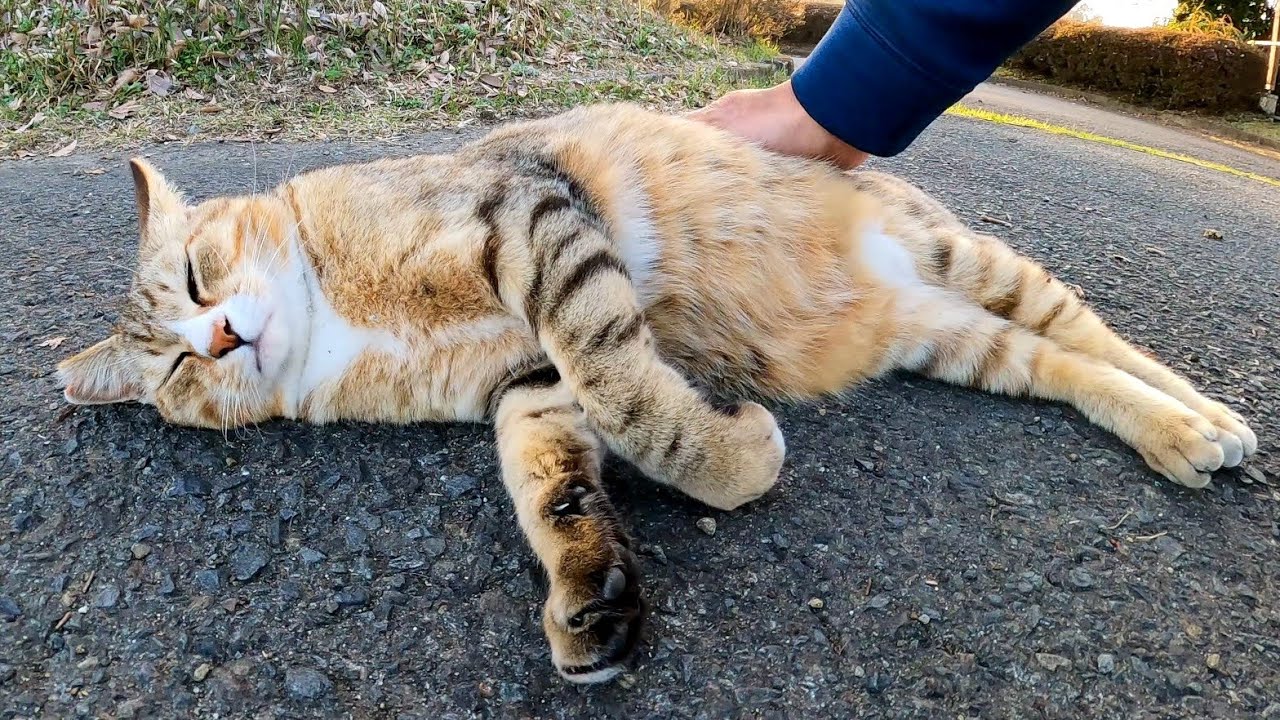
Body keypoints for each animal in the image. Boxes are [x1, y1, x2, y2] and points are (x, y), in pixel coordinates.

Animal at [57, 101, 1249, 676]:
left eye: (199, 274)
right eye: (173, 368)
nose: (219, 337)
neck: (336, 322)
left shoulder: (533, 226)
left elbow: (635, 395)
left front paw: (736, 453)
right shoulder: (528, 383)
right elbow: (552, 480)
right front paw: (591, 591)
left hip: (970, 260)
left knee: (1088, 327)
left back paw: (1209, 416)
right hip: (948, 335)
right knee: (1058, 365)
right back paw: (1172, 433)